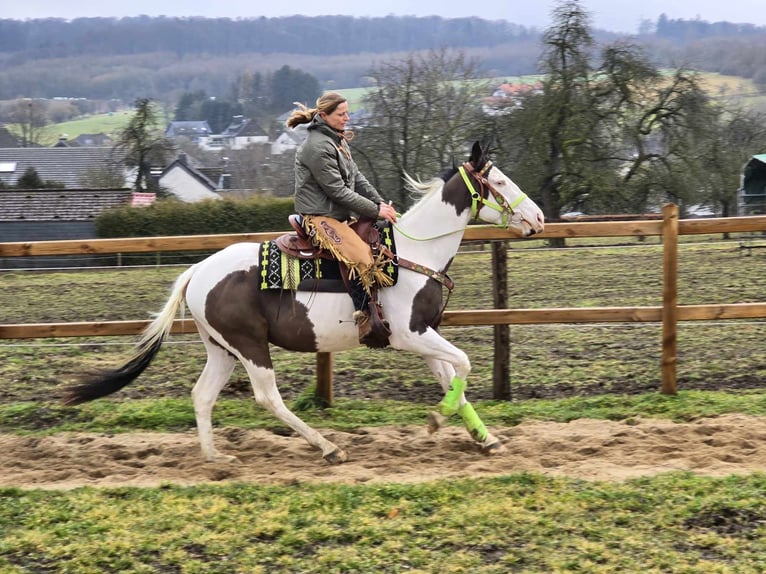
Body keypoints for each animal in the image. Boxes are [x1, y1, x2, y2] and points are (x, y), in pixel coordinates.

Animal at [66, 142, 544, 466]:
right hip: (250, 347)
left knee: (202, 395)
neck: (411, 254)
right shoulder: (410, 335)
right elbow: (462, 364)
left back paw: (216, 458)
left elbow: (451, 378)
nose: (538, 218)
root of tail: (196, 271)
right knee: (267, 397)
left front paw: (485, 438)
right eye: (499, 182)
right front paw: (436, 420)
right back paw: (328, 447)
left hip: (222, 349)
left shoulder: (426, 335)